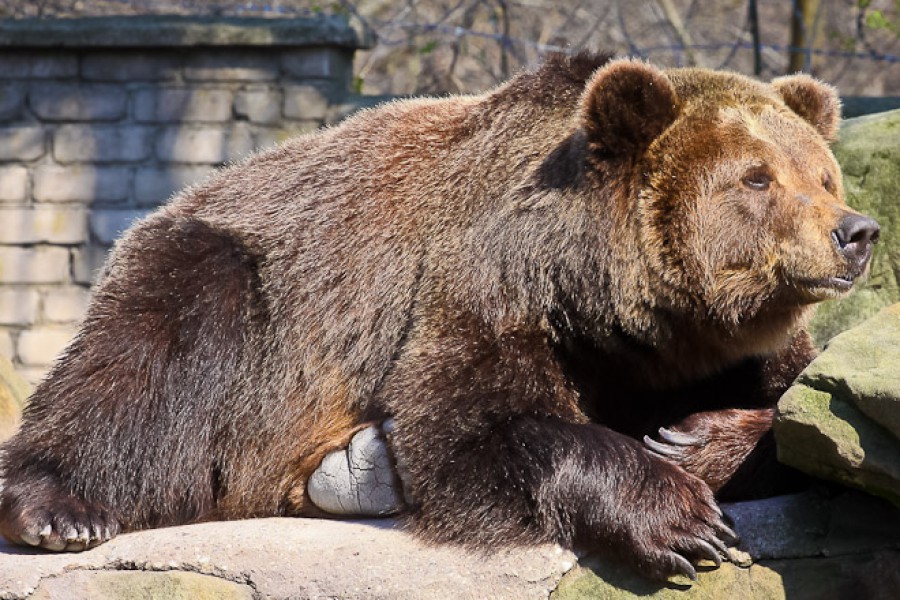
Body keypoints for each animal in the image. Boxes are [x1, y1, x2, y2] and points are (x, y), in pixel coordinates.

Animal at [0, 52, 880, 580]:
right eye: (757, 178)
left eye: (823, 174)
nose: (857, 232)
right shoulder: (482, 285)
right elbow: (474, 425)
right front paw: (681, 516)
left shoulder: (723, 349)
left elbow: (808, 421)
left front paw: (696, 439)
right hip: (231, 283)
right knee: (136, 366)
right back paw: (61, 511)